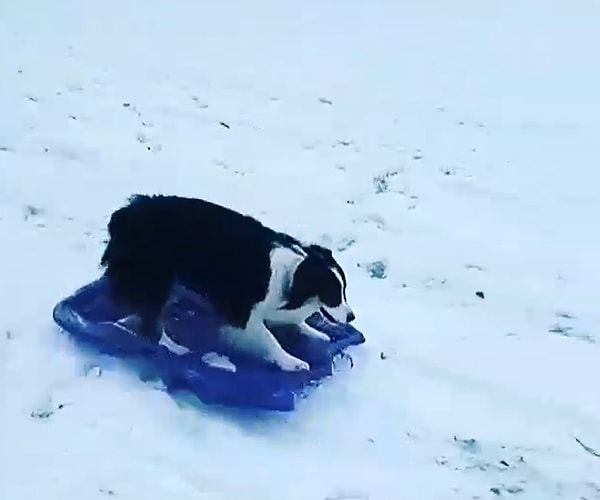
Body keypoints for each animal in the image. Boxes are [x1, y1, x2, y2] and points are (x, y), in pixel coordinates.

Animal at [100, 194, 354, 372]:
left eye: (344, 290)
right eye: (333, 294)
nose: (351, 317)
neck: (296, 272)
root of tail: (125, 214)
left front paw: (313, 331)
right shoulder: (242, 314)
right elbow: (269, 339)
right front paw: (290, 361)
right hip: (156, 278)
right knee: (151, 320)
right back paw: (174, 348)